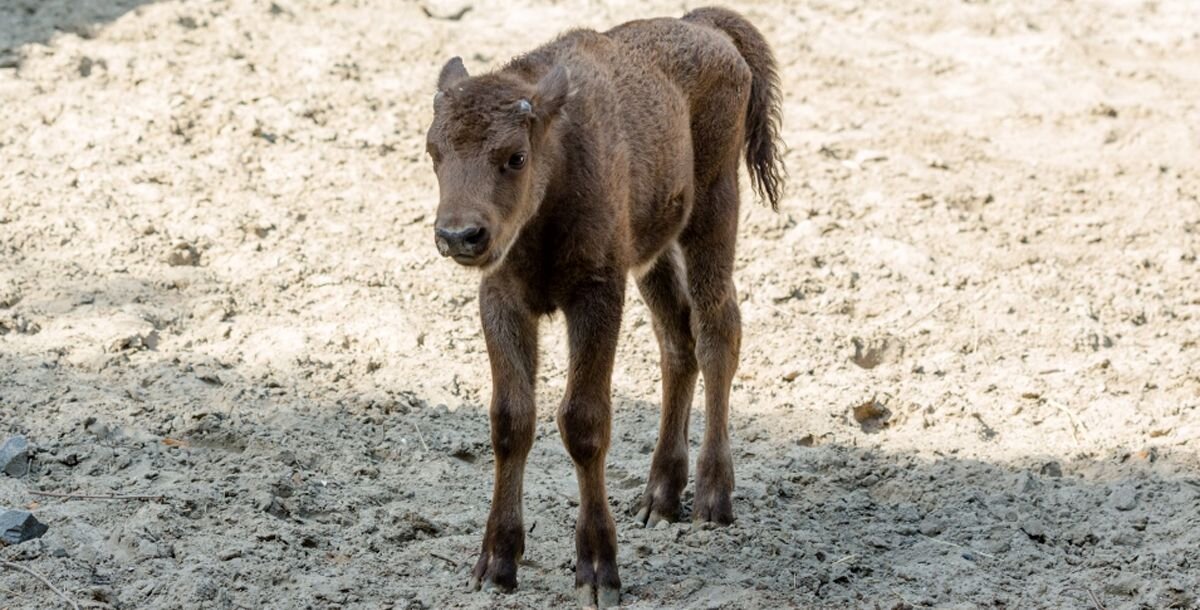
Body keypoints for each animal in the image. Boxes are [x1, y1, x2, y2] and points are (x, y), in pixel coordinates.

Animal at [427, 7, 782, 607]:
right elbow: (510, 421)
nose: (459, 236)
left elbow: (584, 421)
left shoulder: (596, 297)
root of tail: (703, 27)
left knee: (717, 331)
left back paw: (713, 498)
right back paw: (660, 498)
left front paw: (597, 572)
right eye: (434, 152)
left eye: (515, 157)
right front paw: (496, 565)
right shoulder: (502, 300)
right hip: (655, 253)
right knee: (677, 341)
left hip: (714, 211)